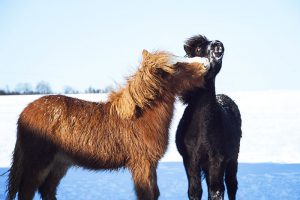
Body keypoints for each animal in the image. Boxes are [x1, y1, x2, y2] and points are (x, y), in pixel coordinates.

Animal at [7, 49, 209, 200]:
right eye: (177, 66)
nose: (206, 63)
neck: (140, 117)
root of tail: (25, 112)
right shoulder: (142, 164)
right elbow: (146, 194)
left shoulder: (151, 165)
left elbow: (155, 193)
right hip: (38, 164)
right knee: (27, 192)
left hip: (59, 164)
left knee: (47, 191)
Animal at [176, 35, 241, 199]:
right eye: (199, 49)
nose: (217, 45)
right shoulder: (190, 160)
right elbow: (195, 191)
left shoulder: (217, 160)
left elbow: (216, 191)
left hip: (233, 159)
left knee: (231, 185)